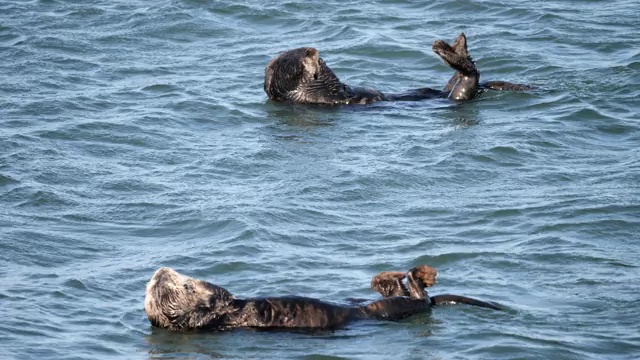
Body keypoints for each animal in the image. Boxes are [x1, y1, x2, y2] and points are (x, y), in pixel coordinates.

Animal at [262, 32, 532, 105]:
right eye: (305, 54)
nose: (313, 49)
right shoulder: (326, 93)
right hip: (459, 94)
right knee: (468, 77)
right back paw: (448, 52)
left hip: (448, 88)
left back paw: (457, 45)